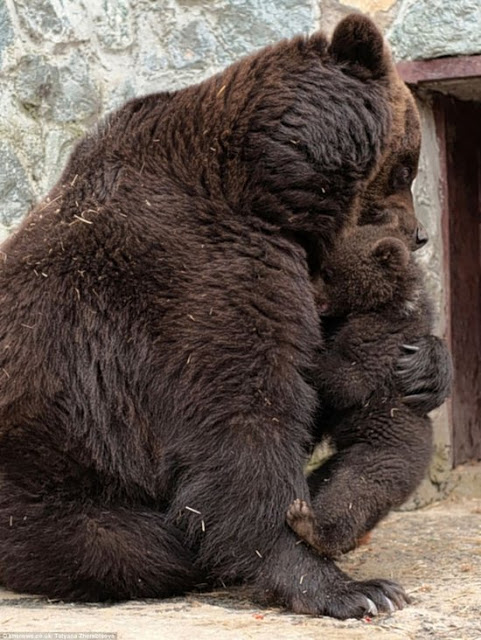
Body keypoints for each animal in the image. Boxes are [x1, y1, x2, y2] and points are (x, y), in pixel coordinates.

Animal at [0, 13, 450, 616]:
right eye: (406, 167)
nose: (420, 233)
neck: (263, 191)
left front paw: (426, 365)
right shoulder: (193, 274)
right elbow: (242, 419)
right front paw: (348, 588)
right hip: (50, 479)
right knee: (129, 545)